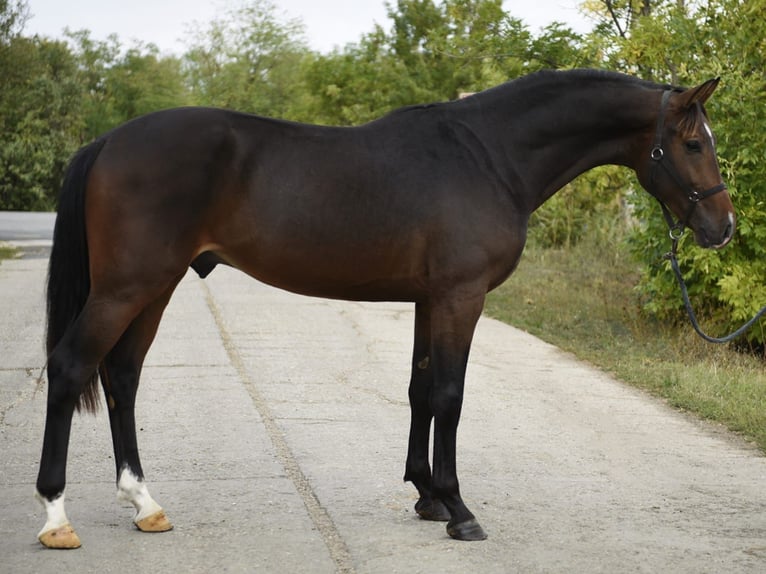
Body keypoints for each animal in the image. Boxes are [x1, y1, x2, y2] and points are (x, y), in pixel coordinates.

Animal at [36, 69, 735, 548]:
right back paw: (56, 517)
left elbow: (420, 391)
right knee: (71, 368)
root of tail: (108, 141)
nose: (722, 228)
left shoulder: (431, 299)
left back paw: (144, 504)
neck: (489, 156)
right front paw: (460, 511)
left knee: (122, 376)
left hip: (154, 287)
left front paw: (427, 498)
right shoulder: (460, 296)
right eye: (694, 144)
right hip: (128, 286)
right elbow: (450, 394)